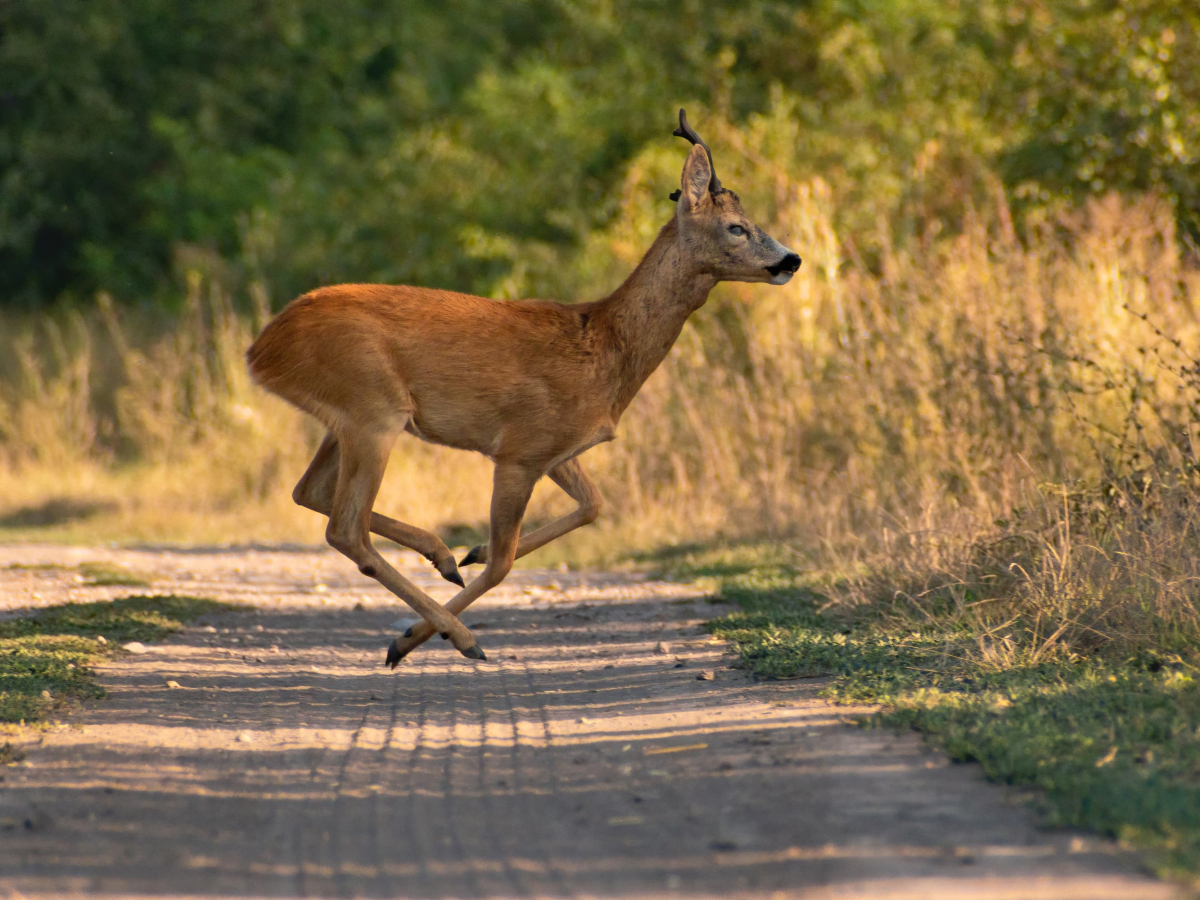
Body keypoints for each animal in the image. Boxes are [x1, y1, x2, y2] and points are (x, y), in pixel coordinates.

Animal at [244, 109, 801, 667]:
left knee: (309, 492)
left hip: (348, 419)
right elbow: (505, 563)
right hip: (373, 410)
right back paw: (452, 633)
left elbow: (593, 506)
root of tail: (260, 350)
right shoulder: (521, 449)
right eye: (736, 227)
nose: (791, 260)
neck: (606, 347)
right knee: (345, 526)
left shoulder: (557, 448)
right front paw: (426, 630)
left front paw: (470, 552)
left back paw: (443, 556)